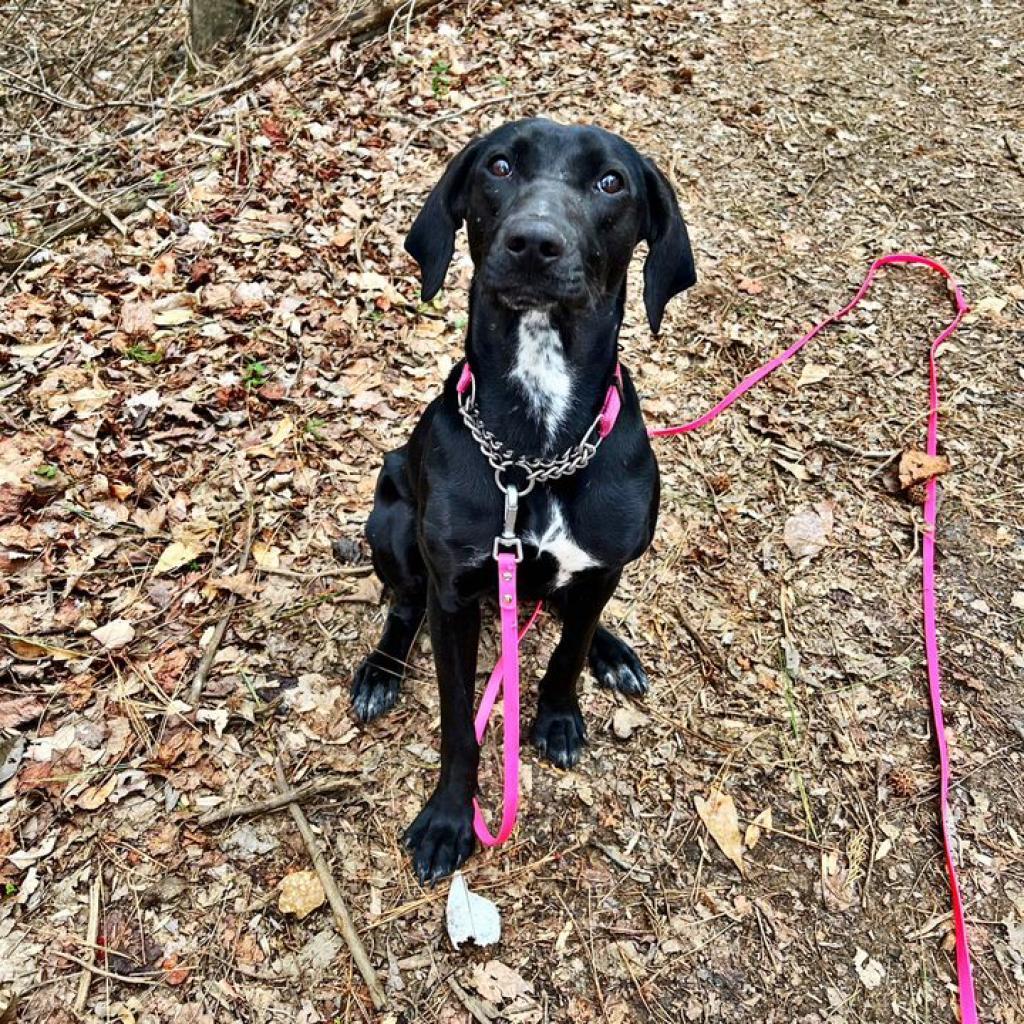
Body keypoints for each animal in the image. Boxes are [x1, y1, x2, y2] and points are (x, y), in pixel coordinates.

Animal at [352, 117, 696, 880]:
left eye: (611, 182)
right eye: (501, 166)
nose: (534, 242)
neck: (532, 453)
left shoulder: (604, 562)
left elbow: (567, 651)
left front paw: (559, 716)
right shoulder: (454, 594)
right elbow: (459, 722)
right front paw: (452, 818)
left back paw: (611, 649)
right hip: (390, 514)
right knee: (404, 604)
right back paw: (380, 671)